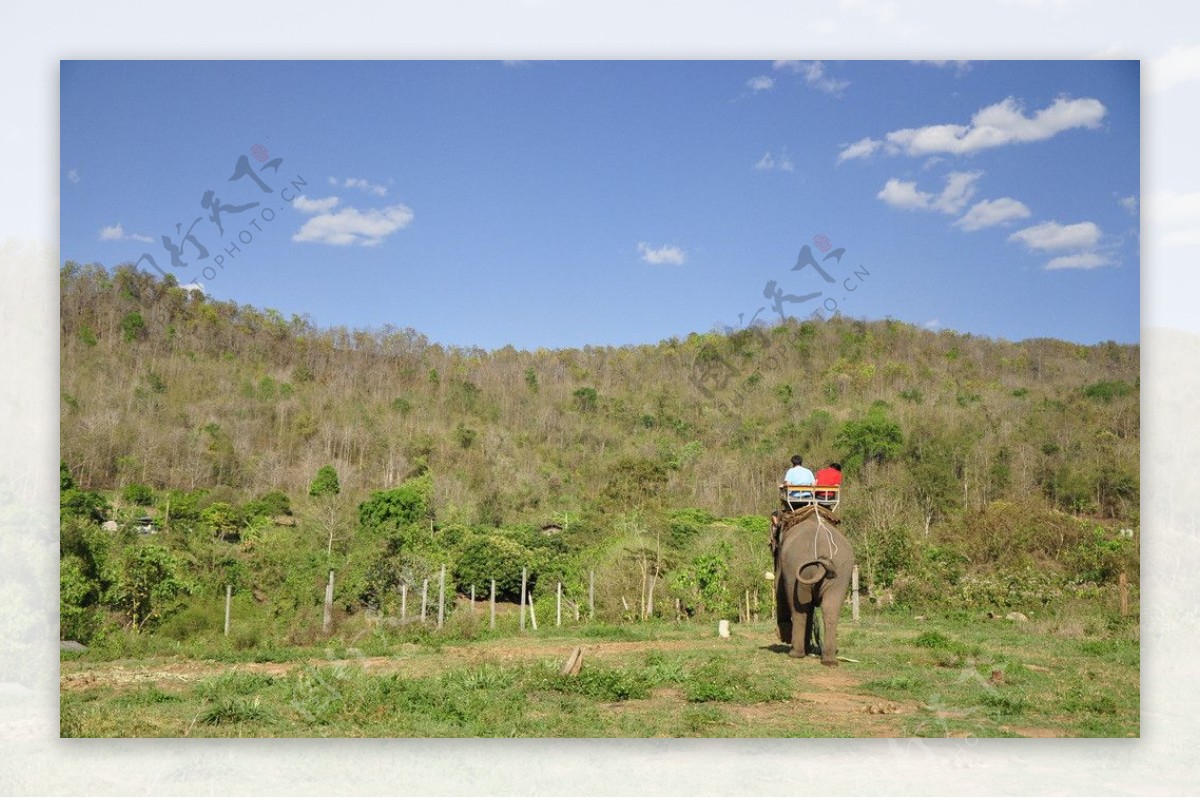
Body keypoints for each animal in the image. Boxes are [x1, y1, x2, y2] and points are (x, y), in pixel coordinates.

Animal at [772, 504, 859, 667]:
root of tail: (824, 551)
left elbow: (779, 589)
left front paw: (784, 636)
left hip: (796, 566)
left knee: (799, 609)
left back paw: (796, 654)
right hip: (841, 572)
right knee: (830, 608)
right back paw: (829, 660)